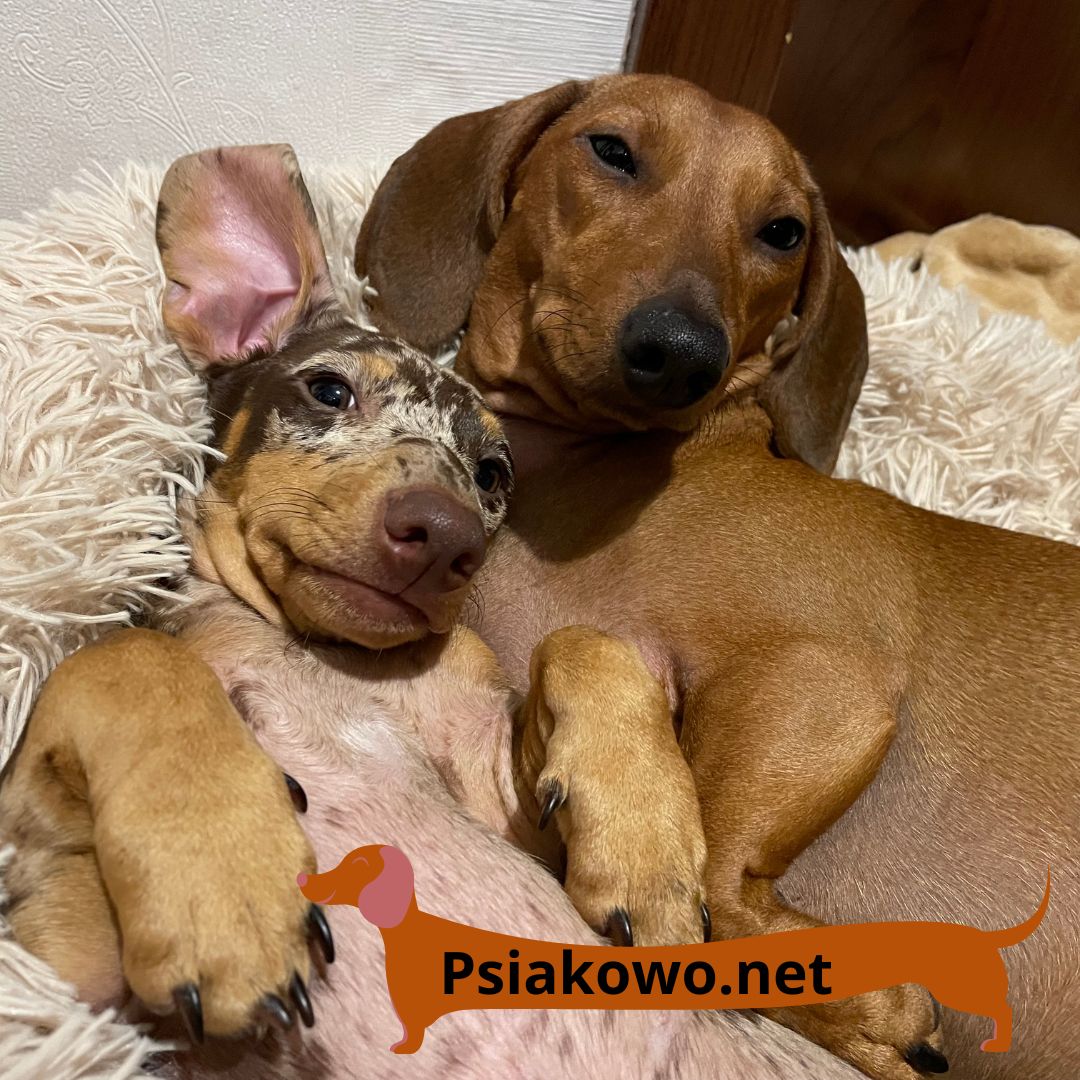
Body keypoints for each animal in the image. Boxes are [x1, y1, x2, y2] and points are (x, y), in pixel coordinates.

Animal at [0, 144, 862, 1080]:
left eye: (493, 473)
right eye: (329, 391)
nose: (447, 537)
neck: (330, 655)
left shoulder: (502, 798)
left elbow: (586, 641)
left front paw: (648, 849)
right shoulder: (76, 980)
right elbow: (124, 657)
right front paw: (223, 891)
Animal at [355, 74, 1080, 1080]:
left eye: (783, 230)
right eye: (611, 150)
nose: (679, 349)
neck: (587, 463)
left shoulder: (825, 677)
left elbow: (717, 892)